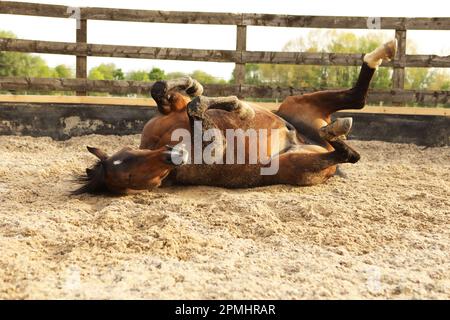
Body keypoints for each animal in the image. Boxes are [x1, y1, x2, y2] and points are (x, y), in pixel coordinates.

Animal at [74, 40, 398, 195]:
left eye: (129, 153)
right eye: (129, 177)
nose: (173, 156)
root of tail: (313, 140)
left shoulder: (168, 112)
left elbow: (168, 92)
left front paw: (199, 88)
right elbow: (198, 111)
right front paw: (233, 110)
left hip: (298, 104)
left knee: (357, 98)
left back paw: (382, 51)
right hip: (295, 164)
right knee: (348, 153)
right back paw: (335, 131)